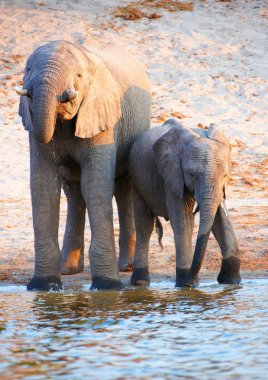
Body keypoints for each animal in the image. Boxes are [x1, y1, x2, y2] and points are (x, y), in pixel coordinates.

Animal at [16, 39, 151, 290]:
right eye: (28, 69)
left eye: (78, 75)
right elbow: (44, 186)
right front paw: (44, 286)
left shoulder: (101, 116)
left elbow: (95, 185)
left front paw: (107, 287)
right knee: (73, 193)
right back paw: (68, 270)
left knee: (123, 187)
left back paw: (126, 267)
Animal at [129, 119, 242, 288]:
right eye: (192, 175)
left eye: (225, 176)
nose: (190, 283)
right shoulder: (172, 176)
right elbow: (181, 221)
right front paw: (185, 285)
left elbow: (220, 218)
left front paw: (231, 282)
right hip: (137, 181)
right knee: (144, 225)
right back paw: (140, 283)